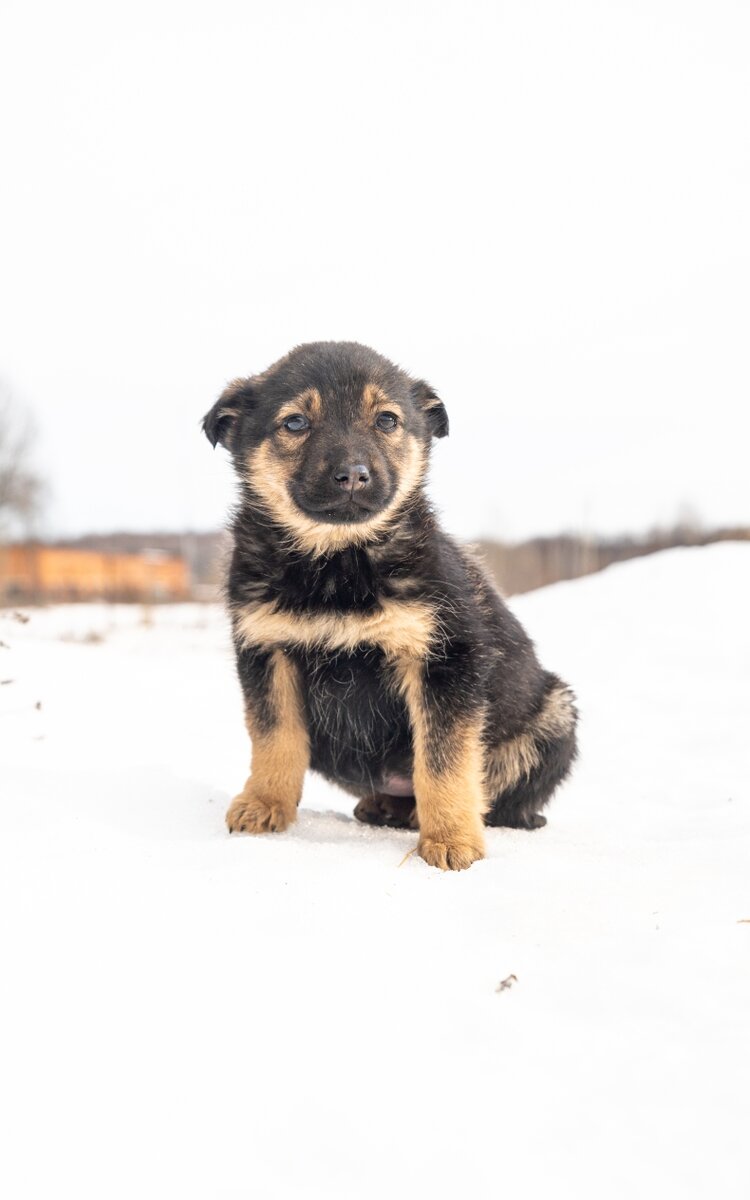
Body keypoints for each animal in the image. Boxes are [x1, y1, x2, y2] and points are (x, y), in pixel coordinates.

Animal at [201, 343, 576, 868]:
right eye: (295, 422)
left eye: (386, 420)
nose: (354, 476)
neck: (338, 561)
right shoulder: (266, 651)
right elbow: (275, 738)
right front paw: (264, 803)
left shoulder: (444, 659)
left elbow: (443, 761)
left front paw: (452, 839)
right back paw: (384, 806)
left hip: (555, 714)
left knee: (501, 796)